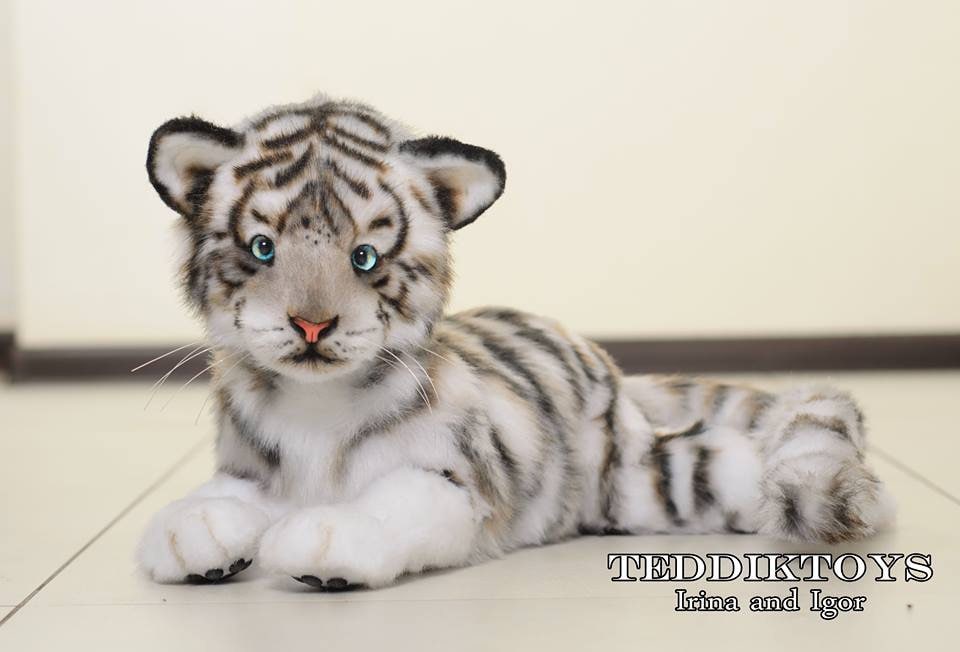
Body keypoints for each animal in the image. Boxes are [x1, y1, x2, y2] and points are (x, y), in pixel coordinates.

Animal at [137, 93, 894, 589]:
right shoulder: (250, 467)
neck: (313, 404)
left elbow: (389, 502)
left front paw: (324, 540)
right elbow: (215, 497)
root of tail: (601, 360)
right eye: (263, 248)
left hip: (657, 481)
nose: (313, 325)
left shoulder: (455, 480)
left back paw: (862, 503)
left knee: (749, 457)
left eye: (365, 257)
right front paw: (190, 531)